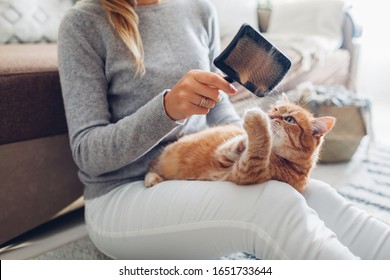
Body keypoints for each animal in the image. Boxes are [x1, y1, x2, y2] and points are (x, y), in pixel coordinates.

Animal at [145, 94, 334, 192]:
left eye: (289, 119)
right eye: (274, 109)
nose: (270, 116)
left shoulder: (246, 171)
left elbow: (259, 147)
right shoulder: (223, 154)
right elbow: (239, 143)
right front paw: (247, 134)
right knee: (151, 167)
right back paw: (152, 178)